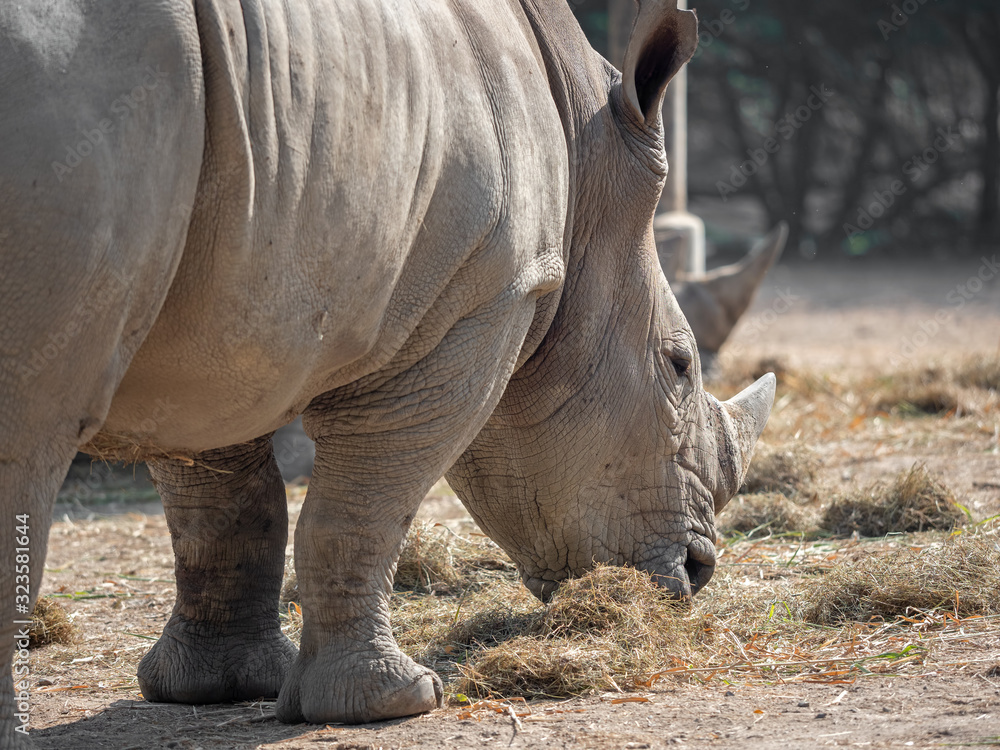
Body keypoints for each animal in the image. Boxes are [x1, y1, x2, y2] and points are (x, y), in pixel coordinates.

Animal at [0, 0, 774, 740]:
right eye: (678, 365)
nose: (699, 572)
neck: (586, 181)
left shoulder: (238, 309)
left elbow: (223, 503)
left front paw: (223, 688)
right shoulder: (484, 298)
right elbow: (364, 504)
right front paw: (392, 702)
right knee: (31, 430)